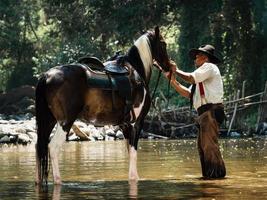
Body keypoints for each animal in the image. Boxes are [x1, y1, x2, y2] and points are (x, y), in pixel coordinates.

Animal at [35, 26, 171, 184]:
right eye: (163, 44)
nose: (169, 67)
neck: (137, 73)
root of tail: (47, 75)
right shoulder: (136, 124)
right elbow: (134, 153)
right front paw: (135, 178)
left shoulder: (125, 125)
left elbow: (129, 153)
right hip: (65, 122)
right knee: (53, 147)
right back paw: (58, 180)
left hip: (49, 121)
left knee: (40, 147)